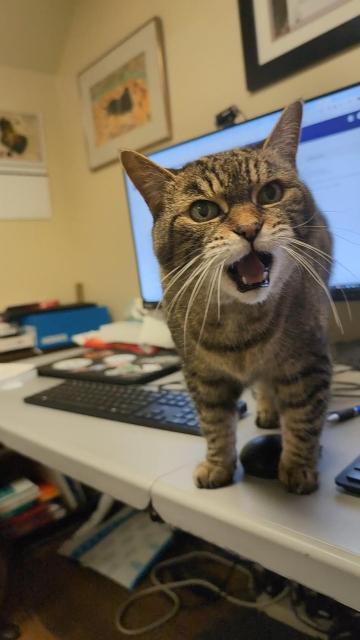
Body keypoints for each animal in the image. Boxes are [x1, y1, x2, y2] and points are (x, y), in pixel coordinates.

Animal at [122, 104, 334, 496]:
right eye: (203, 211)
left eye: (270, 193)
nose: (249, 229)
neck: (241, 322)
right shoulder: (202, 376)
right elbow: (215, 426)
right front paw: (218, 465)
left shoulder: (308, 363)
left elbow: (303, 418)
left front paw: (298, 466)